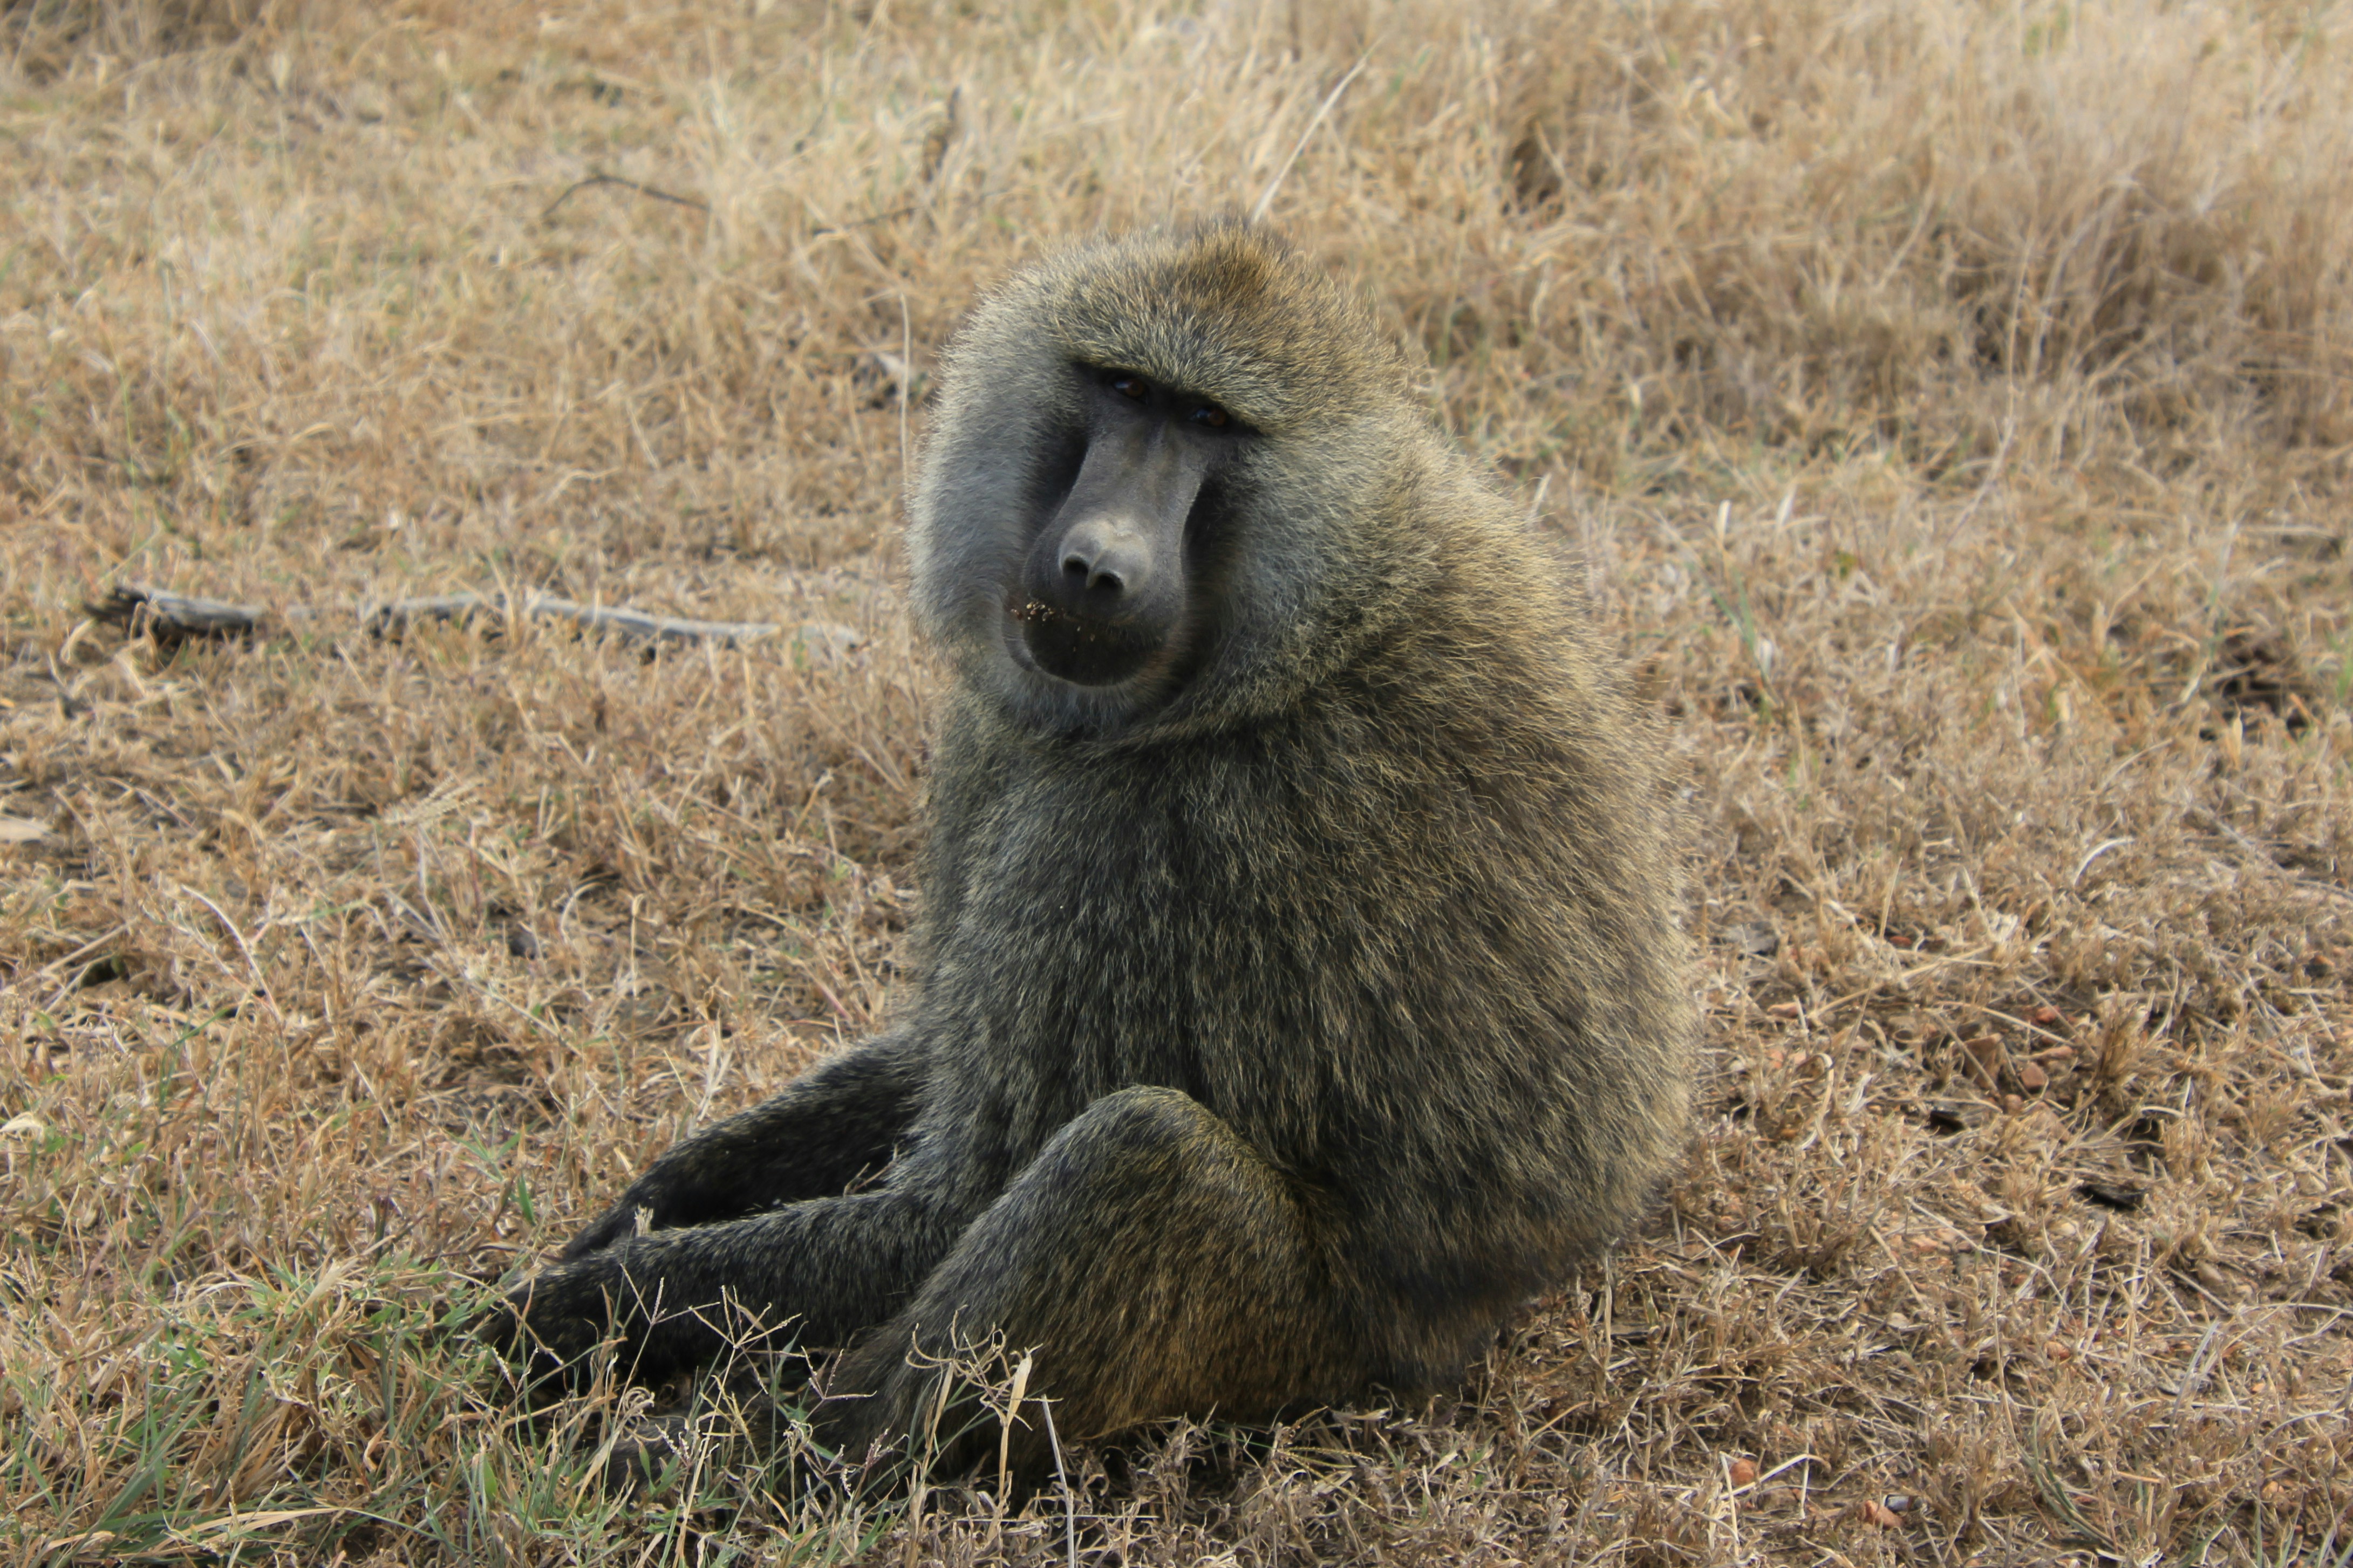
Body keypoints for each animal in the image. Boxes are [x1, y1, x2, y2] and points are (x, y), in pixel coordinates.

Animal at [484, 218, 1696, 1480]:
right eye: (1124, 392)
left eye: (1209, 422)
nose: (1095, 566)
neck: (1310, 626)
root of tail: (1505, 1297)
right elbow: (937, 1053)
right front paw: (654, 1200)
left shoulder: (1137, 844)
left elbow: (951, 1198)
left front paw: (559, 1312)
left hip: (1317, 1337)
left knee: (1142, 1156)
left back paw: (763, 1467)